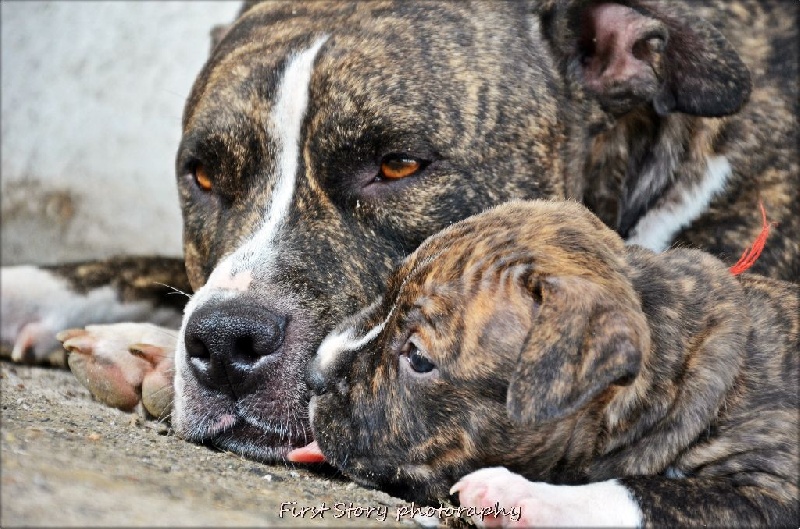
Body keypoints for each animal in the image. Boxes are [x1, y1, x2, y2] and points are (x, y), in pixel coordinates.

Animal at [308, 199, 800, 528]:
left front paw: (519, 494)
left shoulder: (773, 495)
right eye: (385, 292)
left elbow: (641, 490)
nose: (314, 372)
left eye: (417, 357)